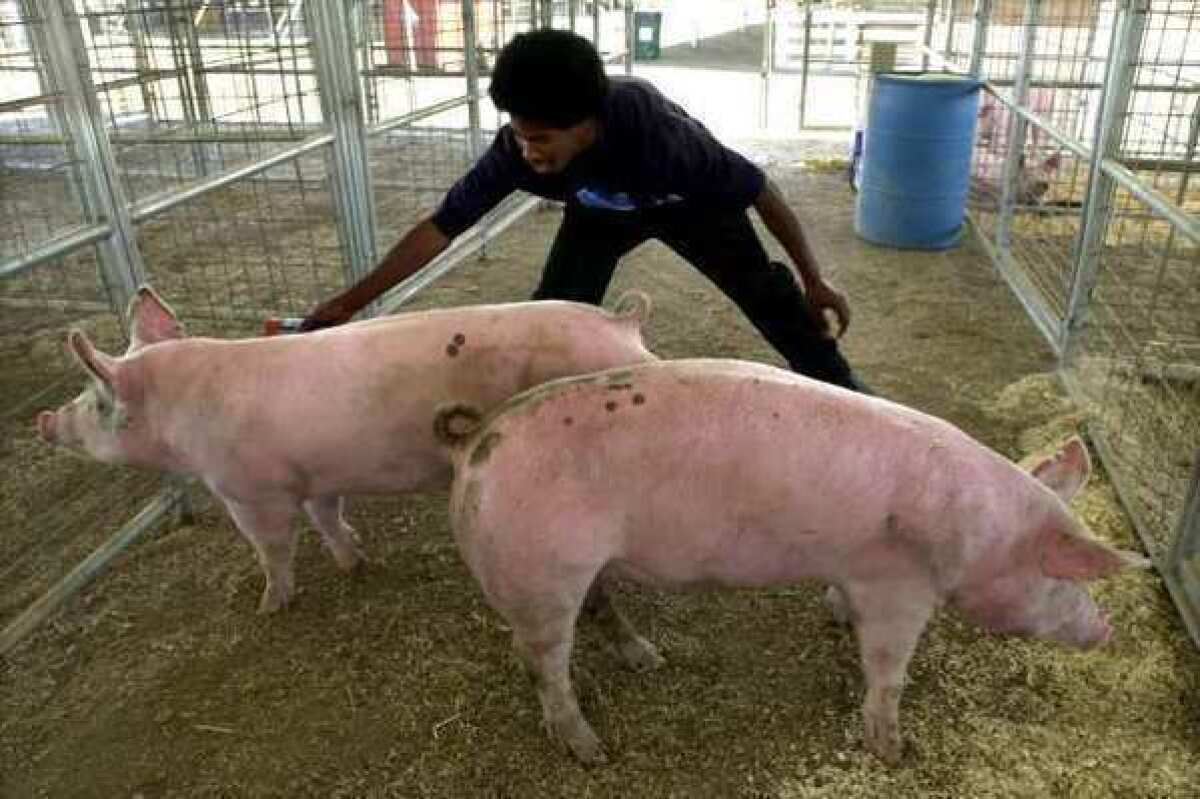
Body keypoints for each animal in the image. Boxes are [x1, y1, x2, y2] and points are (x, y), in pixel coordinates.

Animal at [37, 286, 657, 609]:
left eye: (96, 402)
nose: (45, 420)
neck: (184, 412)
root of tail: (623, 323)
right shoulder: (314, 475)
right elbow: (328, 518)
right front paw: (353, 561)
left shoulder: (250, 491)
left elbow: (272, 548)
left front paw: (270, 605)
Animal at [436, 357, 1147, 763]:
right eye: (1065, 579)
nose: (1107, 628)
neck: (981, 532)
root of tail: (475, 445)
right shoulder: (900, 585)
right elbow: (889, 670)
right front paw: (893, 753)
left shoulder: (859, 566)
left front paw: (834, 615)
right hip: (540, 572)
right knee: (545, 663)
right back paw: (593, 752)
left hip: (569, 568)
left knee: (586, 616)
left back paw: (646, 658)